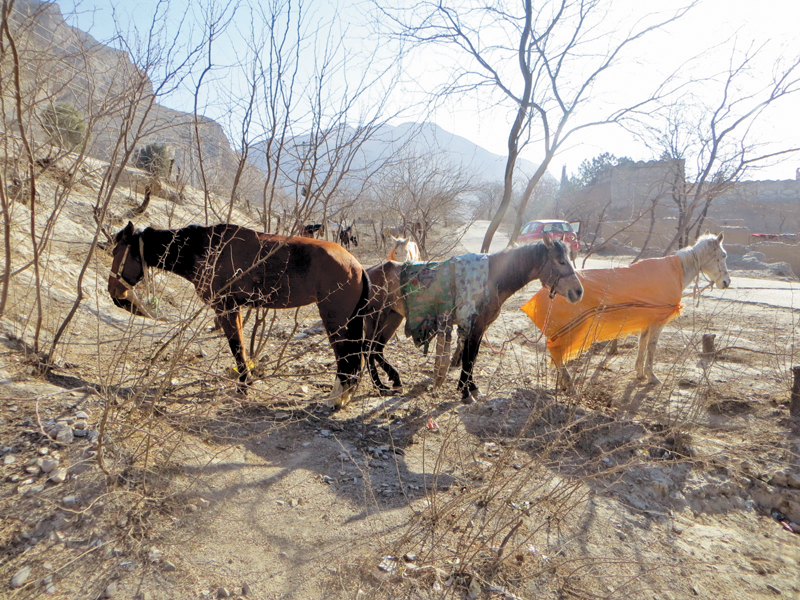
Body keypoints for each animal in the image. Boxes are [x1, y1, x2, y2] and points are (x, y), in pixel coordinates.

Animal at [108, 221, 370, 408]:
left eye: (116, 251)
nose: (114, 293)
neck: (205, 249)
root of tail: (356, 265)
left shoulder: (225, 307)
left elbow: (236, 347)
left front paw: (243, 385)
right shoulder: (236, 308)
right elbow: (241, 346)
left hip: (335, 322)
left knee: (346, 357)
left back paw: (336, 398)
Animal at [366, 237, 584, 400]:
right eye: (560, 261)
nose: (578, 292)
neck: (491, 278)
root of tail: (367, 271)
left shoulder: (481, 326)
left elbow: (473, 354)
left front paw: (470, 387)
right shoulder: (474, 325)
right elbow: (469, 356)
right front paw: (465, 391)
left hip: (393, 317)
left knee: (376, 348)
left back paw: (394, 379)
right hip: (377, 317)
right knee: (368, 348)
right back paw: (380, 386)